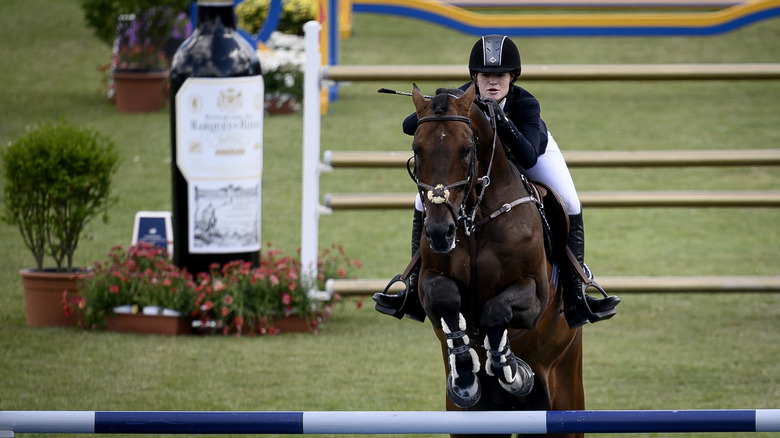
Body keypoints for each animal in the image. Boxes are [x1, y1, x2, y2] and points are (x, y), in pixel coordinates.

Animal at [408, 83, 584, 438]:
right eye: (417, 150)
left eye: (466, 150)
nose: (439, 232)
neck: (476, 218)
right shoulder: (429, 282)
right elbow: (446, 301)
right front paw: (464, 375)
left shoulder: (535, 295)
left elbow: (495, 312)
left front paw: (513, 371)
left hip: (565, 394)